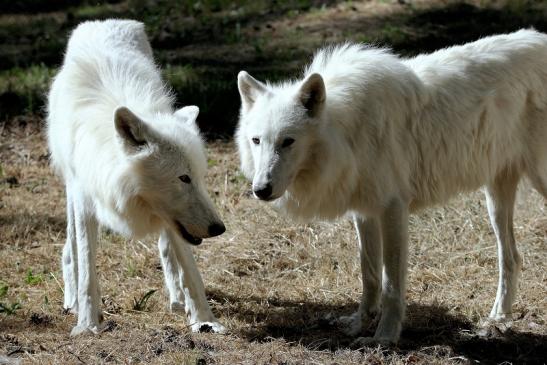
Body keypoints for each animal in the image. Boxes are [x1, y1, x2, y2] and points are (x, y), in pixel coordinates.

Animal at [48, 19, 226, 332]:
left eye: (200, 177)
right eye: (183, 178)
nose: (219, 228)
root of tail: (105, 22)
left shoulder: (177, 223)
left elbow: (190, 269)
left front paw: (205, 320)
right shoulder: (85, 197)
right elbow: (87, 266)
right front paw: (88, 325)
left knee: (166, 248)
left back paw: (176, 299)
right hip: (70, 190)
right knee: (69, 249)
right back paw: (71, 301)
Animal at [238, 29, 547, 344]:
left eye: (288, 141)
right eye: (256, 140)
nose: (261, 189)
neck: (349, 133)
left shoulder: (392, 209)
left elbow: (391, 284)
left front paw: (384, 338)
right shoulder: (364, 211)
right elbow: (370, 274)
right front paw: (358, 323)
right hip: (495, 199)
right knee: (512, 257)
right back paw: (498, 318)